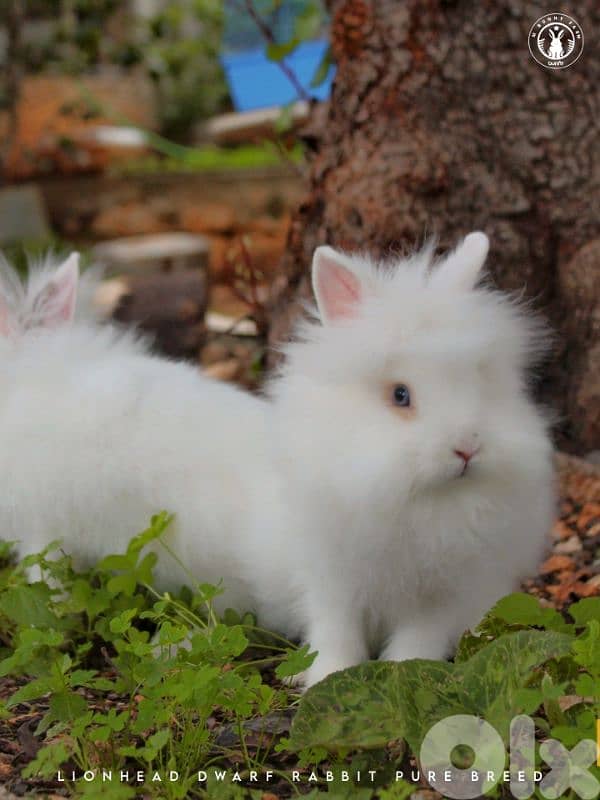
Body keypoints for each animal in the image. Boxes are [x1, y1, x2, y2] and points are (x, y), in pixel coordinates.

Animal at [0, 232, 555, 688]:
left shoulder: (443, 597)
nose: (468, 447)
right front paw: (329, 678)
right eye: (401, 395)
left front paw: (402, 677)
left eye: (481, 379)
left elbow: (415, 644)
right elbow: (336, 635)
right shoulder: (330, 580)